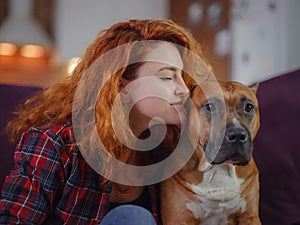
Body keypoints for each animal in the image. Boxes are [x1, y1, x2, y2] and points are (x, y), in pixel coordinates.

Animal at [161, 81, 262, 225]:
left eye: (248, 107)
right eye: (209, 106)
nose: (237, 135)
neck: (219, 169)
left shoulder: (249, 217)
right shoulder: (178, 219)